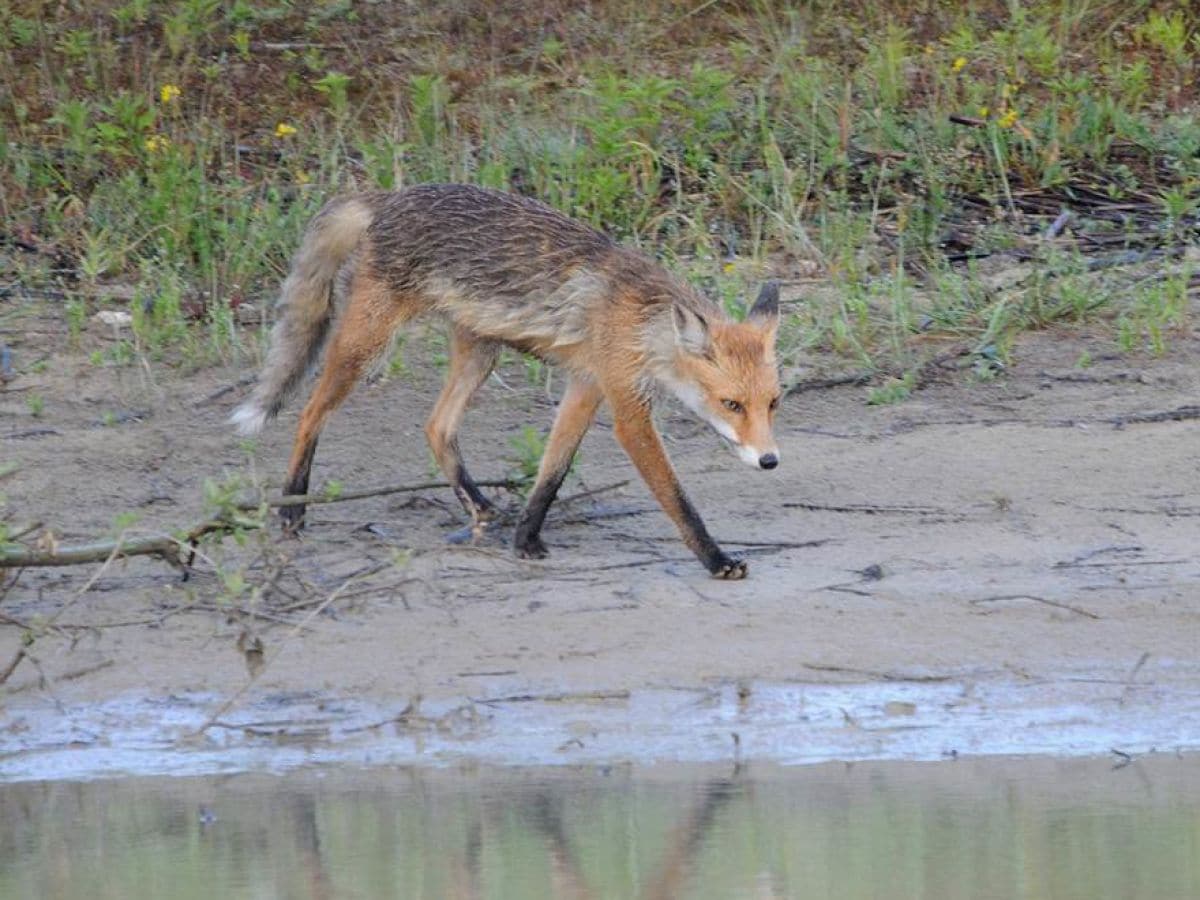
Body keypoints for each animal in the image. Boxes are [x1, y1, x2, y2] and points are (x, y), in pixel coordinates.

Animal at [231, 184, 787, 578]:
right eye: (732, 404)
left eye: (773, 403)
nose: (769, 461)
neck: (639, 320)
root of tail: (387, 195)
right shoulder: (627, 409)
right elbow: (676, 498)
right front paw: (715, 559)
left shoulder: (586, 386)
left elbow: (551, 473)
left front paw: (526, 539)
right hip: (365, 346)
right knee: (309, 412)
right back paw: (293, 510)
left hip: (480, 353)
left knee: (436, 427)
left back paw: (479, 508)